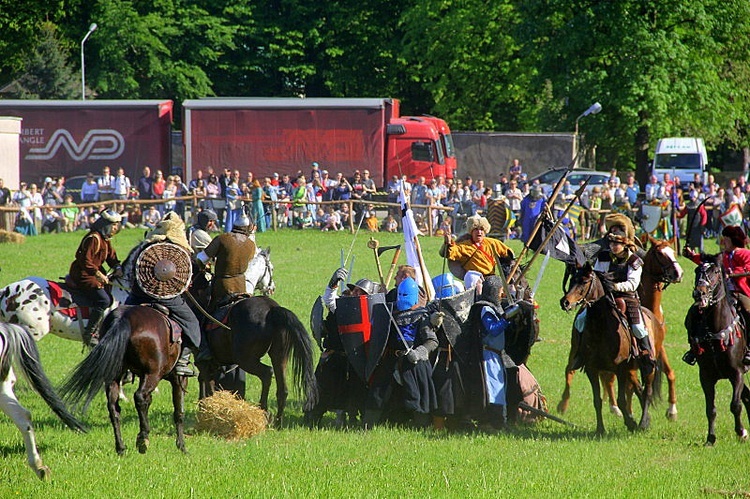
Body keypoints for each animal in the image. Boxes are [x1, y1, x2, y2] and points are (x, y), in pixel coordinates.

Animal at [59, 304, 187, 458]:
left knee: (114, 407)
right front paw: (182, 446)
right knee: (139, 397)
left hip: (114, 376)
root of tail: (123, 318)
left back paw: (120, 447)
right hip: (152, 375)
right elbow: (179, 412)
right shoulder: (178, 379)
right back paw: (143, 439)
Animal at [556, 238, 684, 418]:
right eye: (660, 253)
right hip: (576, 347)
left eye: (672, 252)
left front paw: (671, 410)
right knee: (572, 370)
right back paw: (565, 404)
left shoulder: (656, 348)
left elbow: (669, 373)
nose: (678, 273)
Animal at [560, 264, 668, 436]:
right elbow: (597, 401)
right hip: (632, 370)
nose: (565, 302)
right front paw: (600, 430)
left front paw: (631, 423)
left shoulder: (620, 368)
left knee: (648, 391)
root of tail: (655, 320)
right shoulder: (592, 369)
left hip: (647, 366)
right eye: (572, 280)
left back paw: (643, 423)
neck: (600, 327)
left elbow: (621, 401)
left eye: (584, 282)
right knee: (640, 389)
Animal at [688, 258, 750, 446]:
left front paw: (741, 432)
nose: (699, 293)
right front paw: (710, 438)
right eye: (697, 271)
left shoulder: (737, 373)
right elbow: (711, 409)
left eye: (715, 272)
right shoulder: (706, 376)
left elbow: (735, 405)